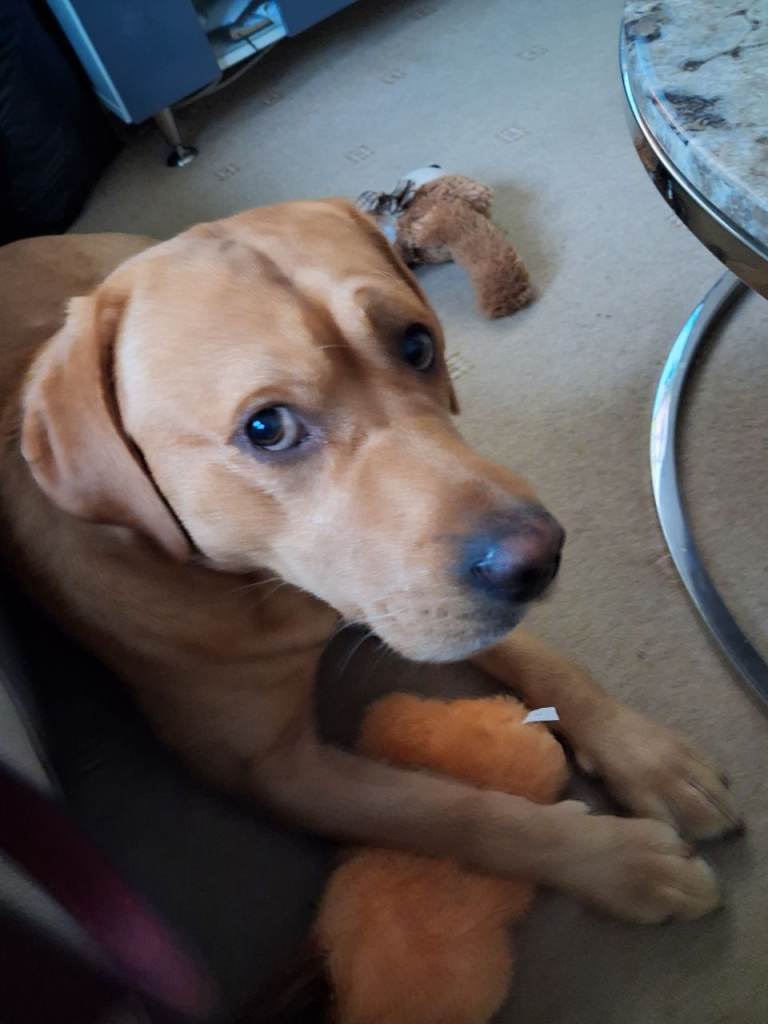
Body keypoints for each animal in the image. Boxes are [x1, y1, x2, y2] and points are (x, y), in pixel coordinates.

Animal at [0, 201, 741, 925]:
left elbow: (546, 660)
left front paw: (645, 756)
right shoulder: (275, 772)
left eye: (417, 345)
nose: (540, 559)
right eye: (267, 428)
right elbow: (449, 809)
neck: (271, 593)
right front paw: (615, 862)